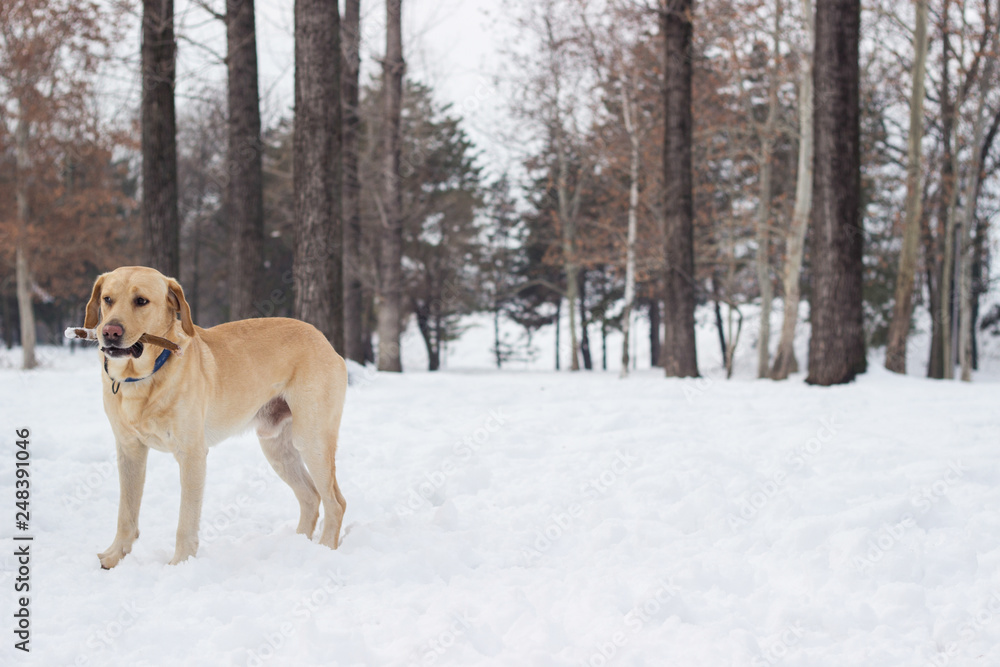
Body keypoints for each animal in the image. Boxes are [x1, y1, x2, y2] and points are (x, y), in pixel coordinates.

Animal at [84, 266, 348, 568]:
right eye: (107, 299)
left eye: (141, 301)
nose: (110, 332)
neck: (141, 379)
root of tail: (323, 338)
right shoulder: (129, 450)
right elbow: (126, 512)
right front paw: (115, 555)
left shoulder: (192, 455)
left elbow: (186, 520)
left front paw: (180, 563)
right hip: (276, 448)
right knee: (310, 497)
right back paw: (297, 547)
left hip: (312, 440)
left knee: (335, 502)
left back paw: (324, 550)